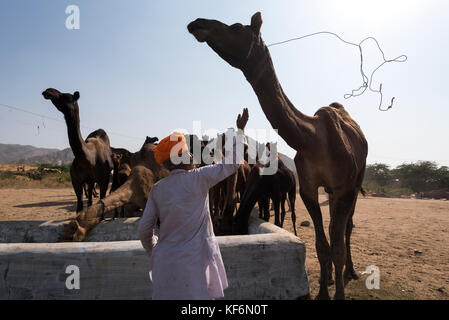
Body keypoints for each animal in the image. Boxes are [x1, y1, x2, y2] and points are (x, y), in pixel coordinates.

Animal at [189, 11, 368, 298]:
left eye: (236, 27)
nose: (198, 23)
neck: (313, 140)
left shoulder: (344, 187)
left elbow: (338, 245)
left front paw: (338, 293)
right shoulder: (308, 188)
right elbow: (322, 245)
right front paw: (322, 292)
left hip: (356, 179)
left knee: (346, 229)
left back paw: (350, 271)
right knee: (333, 229)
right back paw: (331, 278)